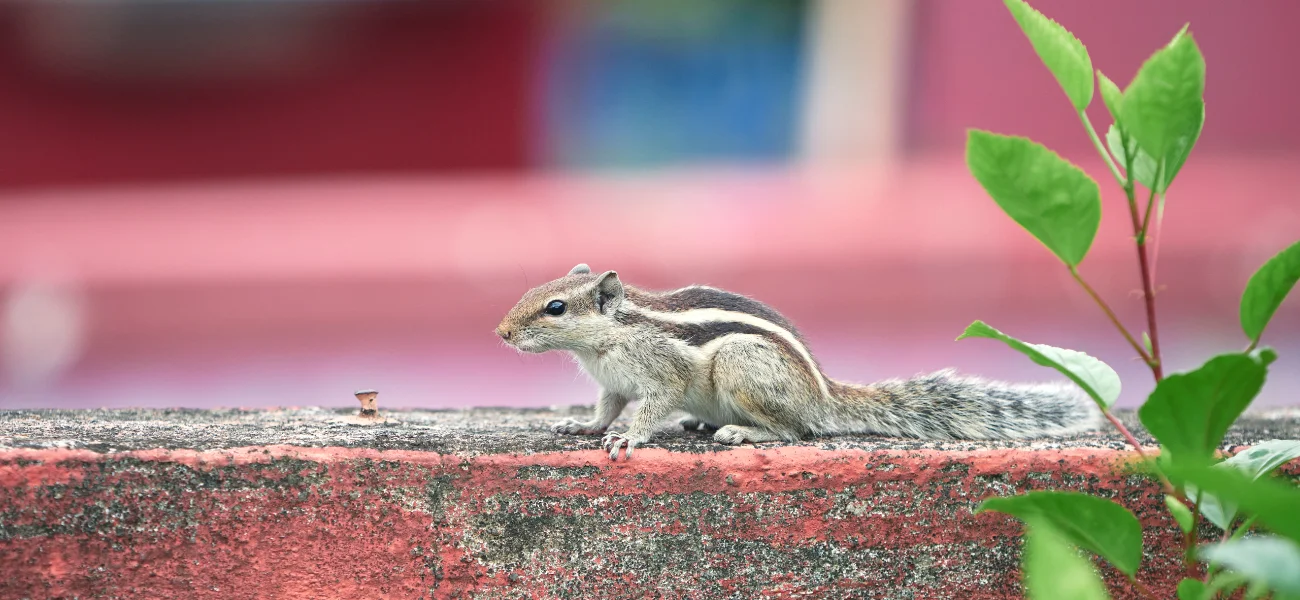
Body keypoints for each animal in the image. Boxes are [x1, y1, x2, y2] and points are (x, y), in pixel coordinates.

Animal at [495, 264, 1103, 460]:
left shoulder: (662, 372)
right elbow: (605, 406)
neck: (605, 338)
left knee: (797, 430)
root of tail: (824, 394)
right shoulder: (613, 383)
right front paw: (580, 424)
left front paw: (629, 437)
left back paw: (742, 432)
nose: (500, 333)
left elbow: (651, 407)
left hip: (741, 367)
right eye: (534, 290)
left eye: (555, 307)